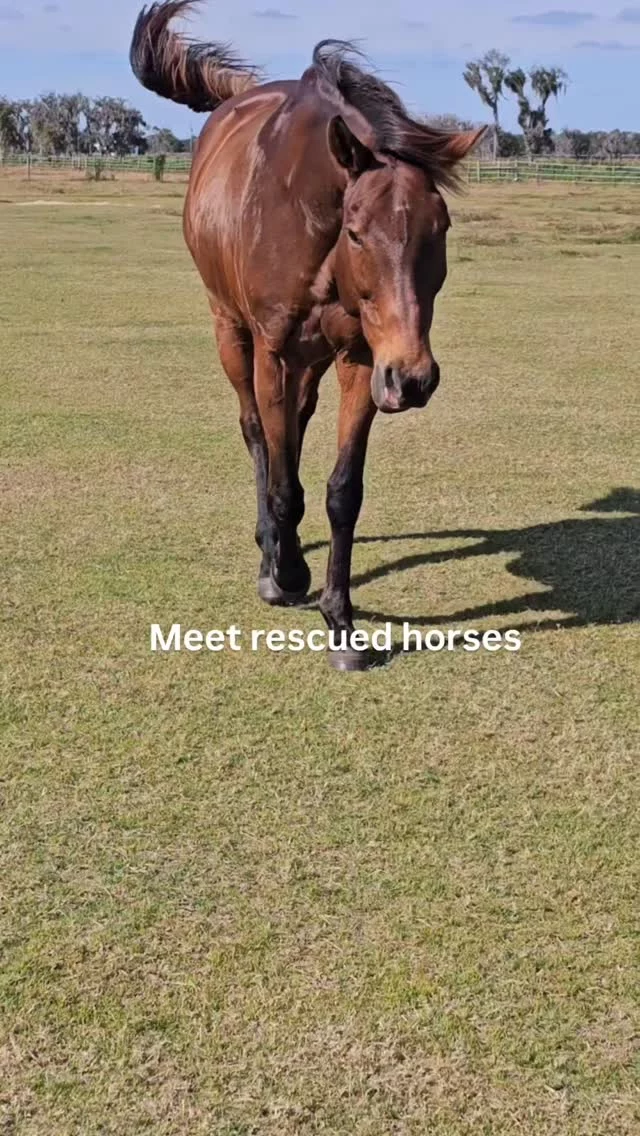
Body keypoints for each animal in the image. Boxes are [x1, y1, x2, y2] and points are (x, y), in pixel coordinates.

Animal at [130, 1, 486, 670]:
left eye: (443, 228)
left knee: (291, 428)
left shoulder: (361, 358)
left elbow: (342, 492)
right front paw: (287, 572)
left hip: (314, 363)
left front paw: (341, 623)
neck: (308, 218)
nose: (414, 378)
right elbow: (280, 474)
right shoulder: (274, 353)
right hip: (232, 333)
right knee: (258, 436)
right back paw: (272, 553)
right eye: (357, 231)